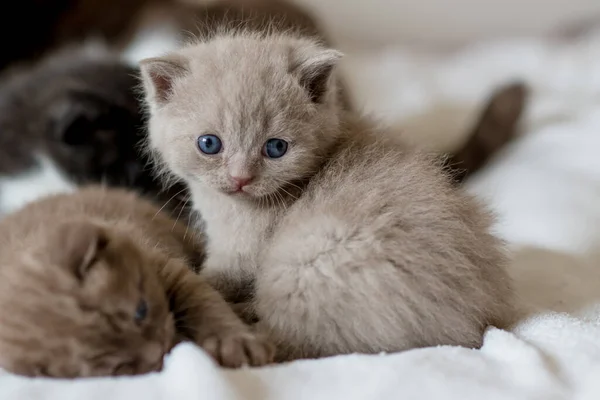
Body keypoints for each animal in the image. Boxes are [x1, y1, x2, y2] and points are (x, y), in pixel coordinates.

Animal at [0, 186, 274, 376]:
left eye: (141, 311)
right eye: (118, 367)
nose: (160, 350)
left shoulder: (165, 265)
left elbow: (204, 302)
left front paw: (234, 342)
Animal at [139, 28, 510, 360]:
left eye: (276, 148)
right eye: (209, 144)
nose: (240, 178)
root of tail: (473, 322)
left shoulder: (239, 253)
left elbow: (211, 279)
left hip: (307, 259)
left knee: (296, 340)